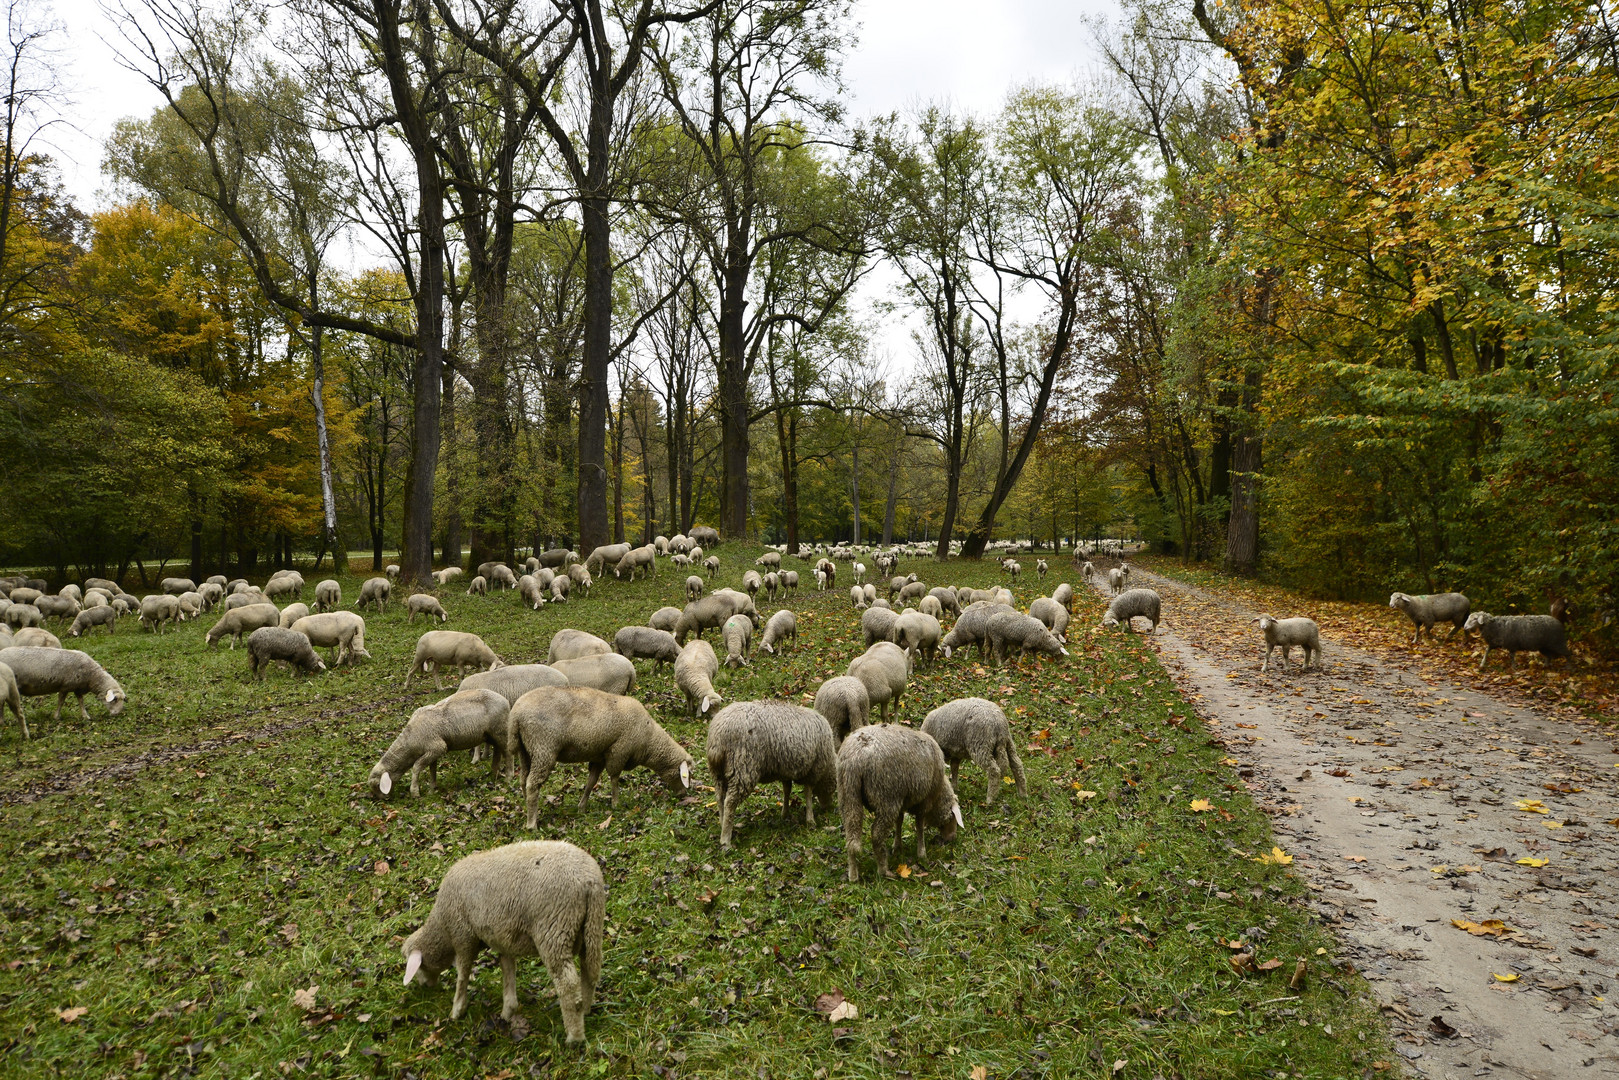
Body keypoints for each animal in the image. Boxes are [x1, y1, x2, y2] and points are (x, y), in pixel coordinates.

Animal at [372, 689, 511, 799]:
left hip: (501, 730)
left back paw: (509, 776)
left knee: (508, 753)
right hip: (492, 734)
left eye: (377, 785)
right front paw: (432, 789)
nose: (378, 799)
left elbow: (416, 767)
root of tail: (505, 700)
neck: (410, 739)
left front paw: (415, 792)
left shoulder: (437, 747)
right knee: (498, 752)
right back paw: (494, 774)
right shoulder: (432, 751)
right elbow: (432, 769)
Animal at [401, 841, 605, 1042]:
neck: (442, 926)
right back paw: (585, 1011)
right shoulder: (503, 941)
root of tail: (589, 880)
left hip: (554, 929)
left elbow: (463, 973)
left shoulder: (463, 935)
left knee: (567, 983)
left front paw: (457, 1009)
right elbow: (508, 972)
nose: (424, 986)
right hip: (592, 926)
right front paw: (508, 1011)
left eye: (419, 967)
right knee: (590, 971)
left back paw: (574, 1036)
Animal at [508, 689, 692, 822]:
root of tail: (516, 715)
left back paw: (528, 807)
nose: (684, 795)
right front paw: (616, 804)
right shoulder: (619, 752)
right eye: (685, 774)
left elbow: (591, 782)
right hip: (543, 747)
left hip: (526, 750)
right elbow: (615, 779)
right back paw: (532, 823)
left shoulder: (600, 757)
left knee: (524, 780)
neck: (649, 740)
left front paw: (582, 807)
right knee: (533, 784)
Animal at [705, 702, 835, 854]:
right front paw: (810, 820)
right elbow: (808, 794)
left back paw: (722, 823)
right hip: (743, 768)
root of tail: (718, 735)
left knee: (720, 798)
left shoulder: (786, 771)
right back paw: (726, 840)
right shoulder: (813, 771)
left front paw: (785, 813)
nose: (828, 808)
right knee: (730, 802)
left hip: (718, 772)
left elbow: (787, 790)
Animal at [835, 725, 958, 887]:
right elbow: (919, 826)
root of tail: (855, 758)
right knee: (876, 835)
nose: (952, 838)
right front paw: (922, 853)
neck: (938, 795)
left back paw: (853, 875)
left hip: (848, 793)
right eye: (952, 818)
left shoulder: (902, 800)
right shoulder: (923, 801)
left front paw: (897, 847)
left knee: (852, 839)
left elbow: (899, 822)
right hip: (885, 796)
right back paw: (884, 870)